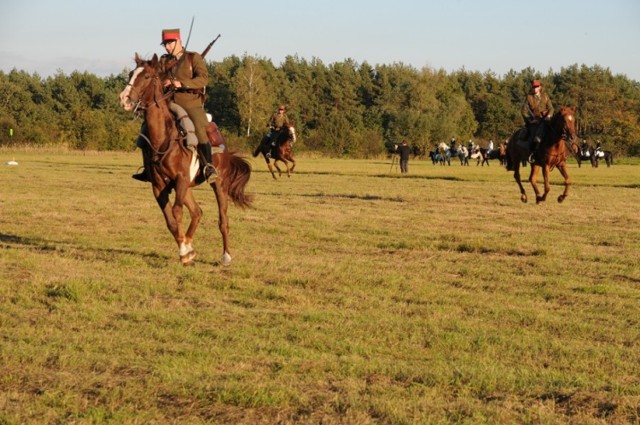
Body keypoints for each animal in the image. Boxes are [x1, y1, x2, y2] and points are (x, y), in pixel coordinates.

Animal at [119, 53, 251, 264]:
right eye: (131, 73)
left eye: (146, 76)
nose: (124, 99)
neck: (164, 138)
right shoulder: (159, 186)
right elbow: (170, 220)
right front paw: (185, 250)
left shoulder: (180, 180)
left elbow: (176, 212)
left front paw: (184, 251)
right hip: (187, 186)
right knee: (197, 212)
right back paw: (189, 243)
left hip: (218, 185)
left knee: (223, 219)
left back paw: (226, 256)